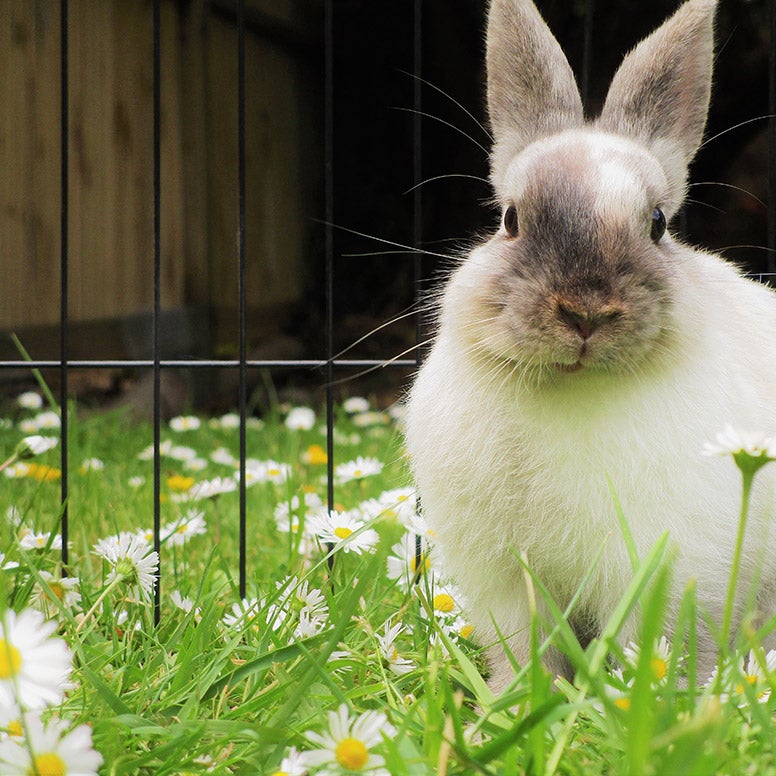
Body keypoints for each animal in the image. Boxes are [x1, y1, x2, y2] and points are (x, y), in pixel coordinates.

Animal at [404, 0, 776, 696]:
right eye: (510, 219)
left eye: (657, 224)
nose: (584, 312)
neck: (571, 387)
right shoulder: (506, 582)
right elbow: (526, 649)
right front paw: (516, 699)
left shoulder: (666, 571)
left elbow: (649, 643)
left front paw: (642, 697)